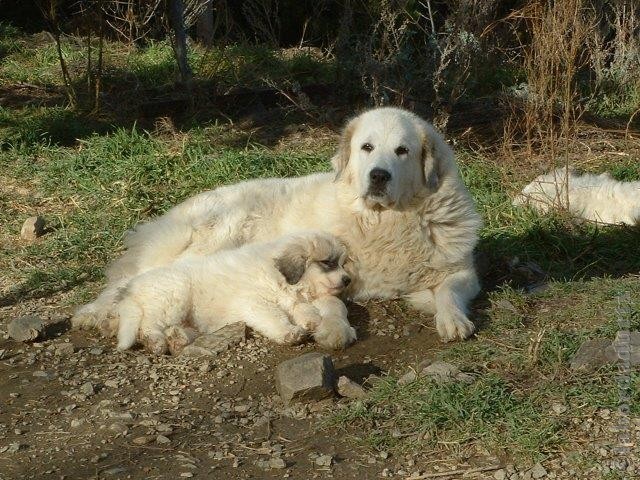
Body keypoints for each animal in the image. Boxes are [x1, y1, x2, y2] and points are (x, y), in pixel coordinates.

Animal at [114, 231, 356, 354]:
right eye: (328, 262)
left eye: (341, 263)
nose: (348, 280)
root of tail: (131, 288)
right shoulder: (255, 302)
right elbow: (275, 316)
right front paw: (289, 332)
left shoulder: (290, 297)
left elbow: (299, 307)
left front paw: (312, 320)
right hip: (172, 298)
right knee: (148, 325)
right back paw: (156, 342)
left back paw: (177, 338)